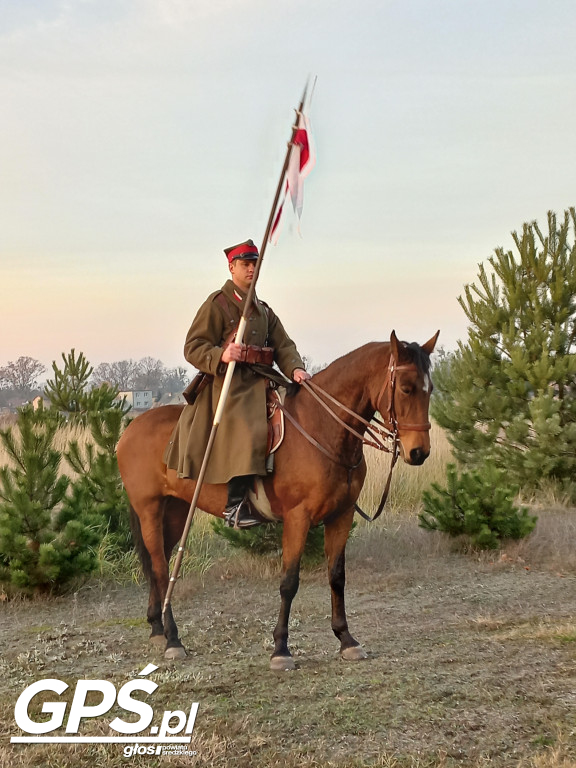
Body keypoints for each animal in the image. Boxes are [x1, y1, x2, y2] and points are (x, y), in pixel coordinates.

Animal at [118, 330, 440, 672]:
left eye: (430, 389)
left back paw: (158, 629)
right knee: (161, 568)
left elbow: (336, 576)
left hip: (176, 511)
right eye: (406, 388)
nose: (418, 452)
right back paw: (173, 639)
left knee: (160, 564)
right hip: (150, 510)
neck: (321, 427)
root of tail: (130, 429)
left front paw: (346, 639)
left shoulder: (341, 516)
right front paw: (281, 648)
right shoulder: (298, 519)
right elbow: (289, 581)